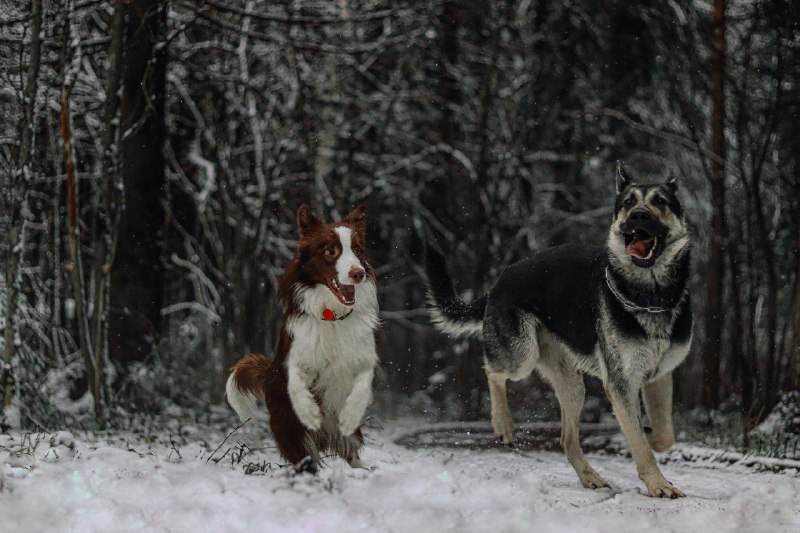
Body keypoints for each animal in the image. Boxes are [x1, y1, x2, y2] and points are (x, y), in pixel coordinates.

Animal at [227, 205, 380, 474]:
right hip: (290, 431)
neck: (332, 316)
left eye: (357, 250)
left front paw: (350, 415)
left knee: (350, 450)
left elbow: (361, 387)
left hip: (346, 436)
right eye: (331, 251)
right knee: (306, 459)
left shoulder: (363, 357)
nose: (358, 273)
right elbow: (296, 384)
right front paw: (309, 412)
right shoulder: (297, 354)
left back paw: (363, 470)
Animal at [424, 163, 692, 498]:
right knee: (492, 371)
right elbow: (640, 442)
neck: (651, 297)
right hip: (522, 356)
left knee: (566, 439)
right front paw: (658, 484)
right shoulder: (621, 384)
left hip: (572, 384)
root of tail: (501, 278)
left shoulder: (658, 377)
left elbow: (663, 435)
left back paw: (590, 477)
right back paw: (503, 423)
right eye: (628, 203)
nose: (638, 216)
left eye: (660, 202)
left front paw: (650, 440)